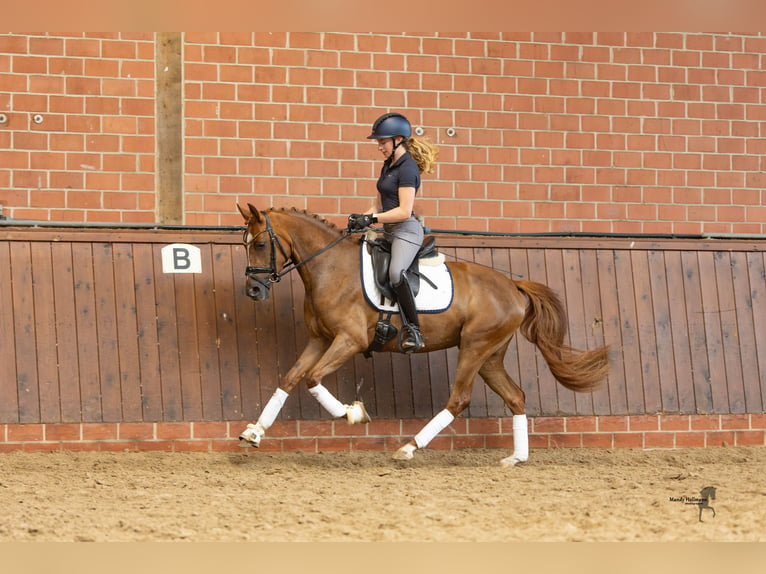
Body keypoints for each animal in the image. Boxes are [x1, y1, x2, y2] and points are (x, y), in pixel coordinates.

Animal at [237, 206, 608, 468]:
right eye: (244, 244)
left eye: (260, 244)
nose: (253, 290)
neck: (330, 268)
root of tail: (512, 285)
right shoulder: (319, 340)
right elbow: (290, 379)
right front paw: (254, 432)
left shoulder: (349, 340)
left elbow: (312, 378)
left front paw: (354, 414)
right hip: (490, 355)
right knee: (515, 396)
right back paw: (516, 458)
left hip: (474, 347)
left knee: (459, 399)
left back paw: (408, 448)